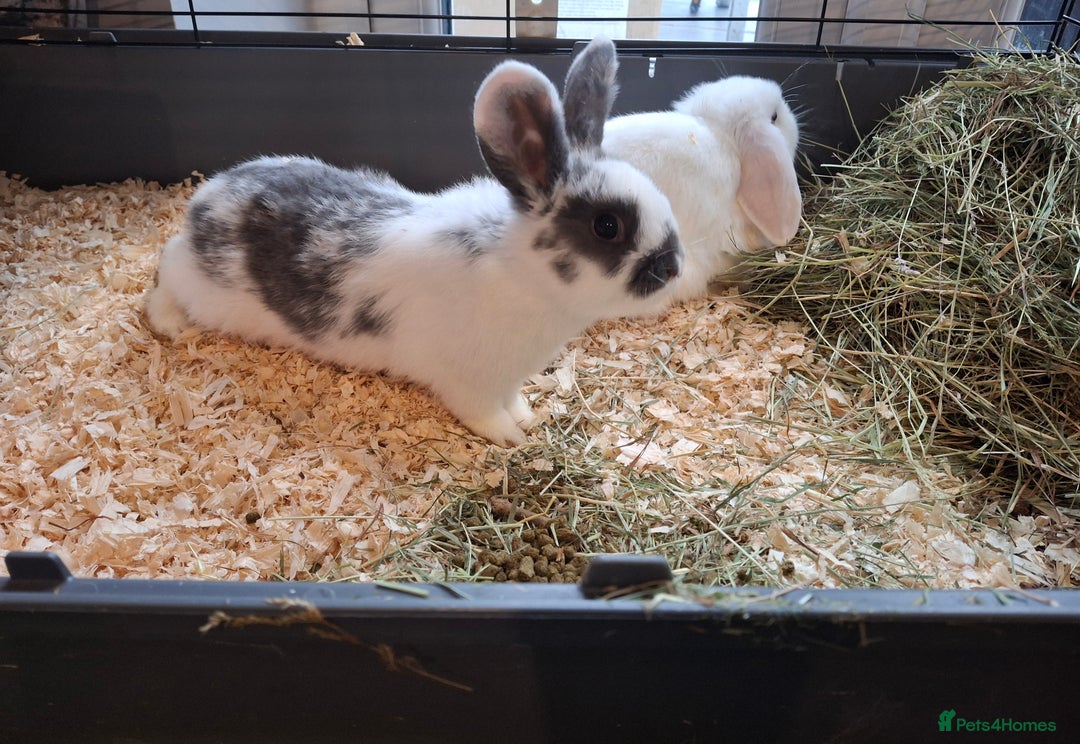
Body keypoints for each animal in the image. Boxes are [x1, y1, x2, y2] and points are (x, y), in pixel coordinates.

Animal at [144, 37, 683, 446]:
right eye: (607, 226)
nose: (672, 266)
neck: (520, 274)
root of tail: (207, 195)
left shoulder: (506, 381)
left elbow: (514, 402)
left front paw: (529, 418)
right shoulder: (469, 385)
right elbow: (485, 416)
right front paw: (512, 437)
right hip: (203, 286)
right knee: (165, 273)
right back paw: (170, 323)